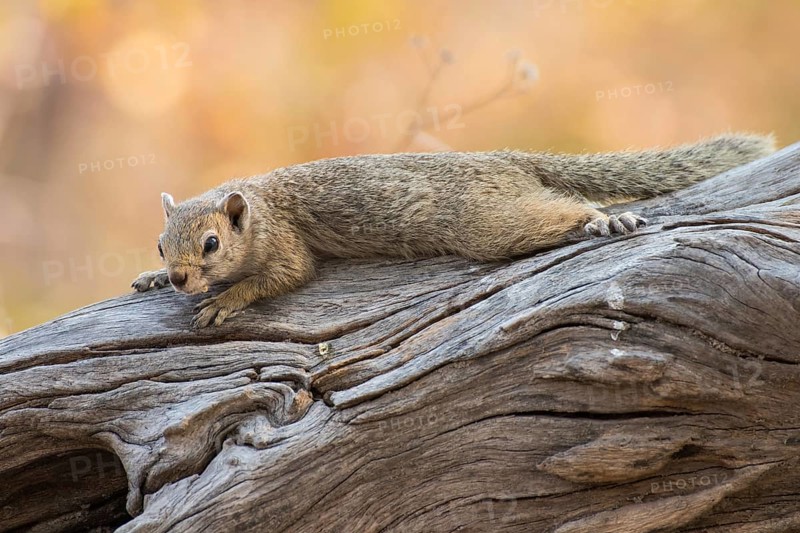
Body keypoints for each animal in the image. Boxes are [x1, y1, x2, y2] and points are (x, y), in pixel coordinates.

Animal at [132, 133, 775, 328]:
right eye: (161, 244)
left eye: (212, 243)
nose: (180, 278)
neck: (258, 206)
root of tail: (508, 159)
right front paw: (150, 281)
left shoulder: (285, 242)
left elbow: (286, 274)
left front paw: (226, 300)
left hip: (488, 220)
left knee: (562, 208)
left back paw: (602, 217)